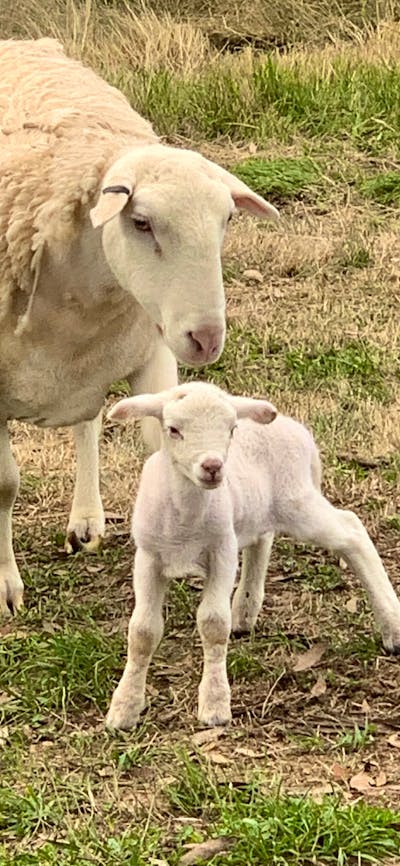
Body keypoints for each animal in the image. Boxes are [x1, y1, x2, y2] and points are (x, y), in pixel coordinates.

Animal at [0, 38, 279, 615]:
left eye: (228, 220)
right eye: (142, 222)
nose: (206, 339)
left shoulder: (150, 354)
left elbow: (157, 449)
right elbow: (5, 486)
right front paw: (6, 585)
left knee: (87, 421)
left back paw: (86, 519)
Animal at [105, 381, 400, 730]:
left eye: (231, 429)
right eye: (173, 430)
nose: (213, 467)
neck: (186, 520)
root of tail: (296, 428)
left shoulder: (222, 551)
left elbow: (213, 623)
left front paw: (215, 705)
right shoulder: (148, 557)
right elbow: (142, 632)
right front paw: (124, 708)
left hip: (297, 502)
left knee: (352, 530)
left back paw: (393, 627)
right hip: (258, 510)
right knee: (264, 537)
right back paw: (245, 611)